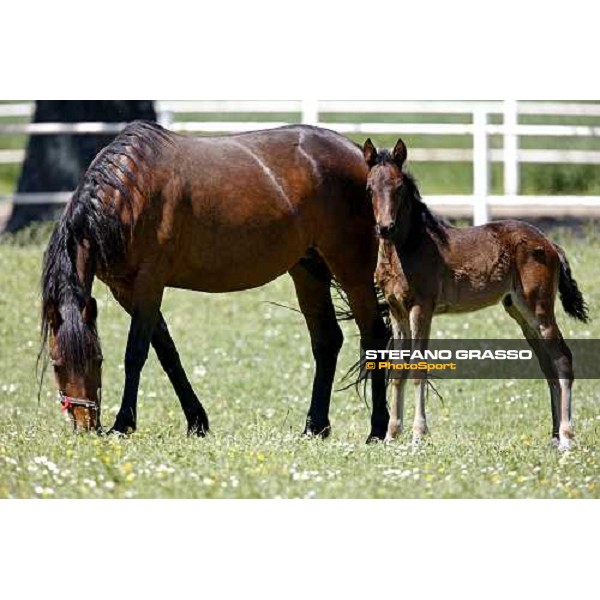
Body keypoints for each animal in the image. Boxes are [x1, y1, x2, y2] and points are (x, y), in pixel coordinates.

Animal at [364, 138, 588, 448]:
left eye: (399, 187)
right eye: (369, 188)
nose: (385, 227)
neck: (408, 247)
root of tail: (549, 243)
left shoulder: (422, 308)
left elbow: (419, 367)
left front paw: (418, 435)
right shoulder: (397, 310)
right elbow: (398, 370)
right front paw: (391, 435)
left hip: (539, 309)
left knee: (563, 359)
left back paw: (566, 437)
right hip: (520, 313)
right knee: (548, 366)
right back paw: (554, 437)